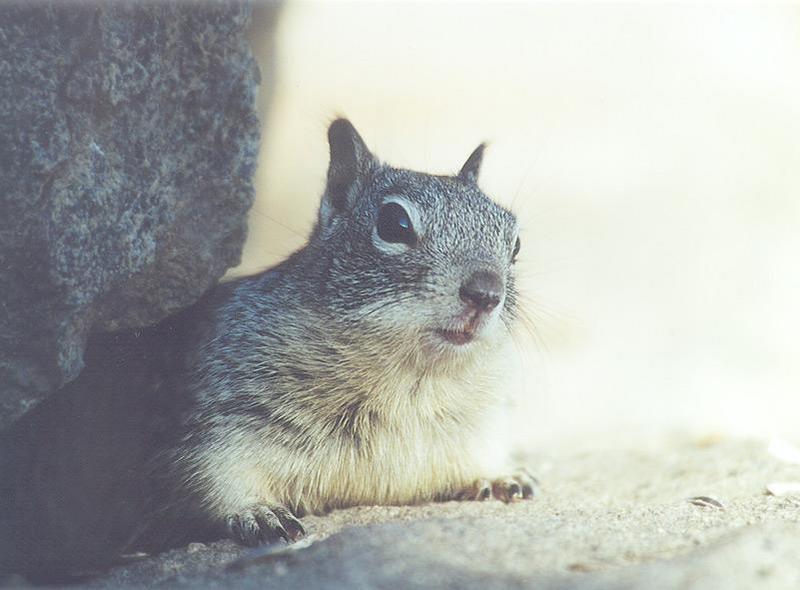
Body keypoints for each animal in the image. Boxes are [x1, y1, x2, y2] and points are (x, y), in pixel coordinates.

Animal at [3, 119, 536, 580]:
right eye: (394, 224)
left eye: (515, 242)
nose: (485, 293)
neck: (409, 378)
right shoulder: (211, 423)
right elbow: (207, 478)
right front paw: (256, 514)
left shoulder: (480, 423)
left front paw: (503, 477)